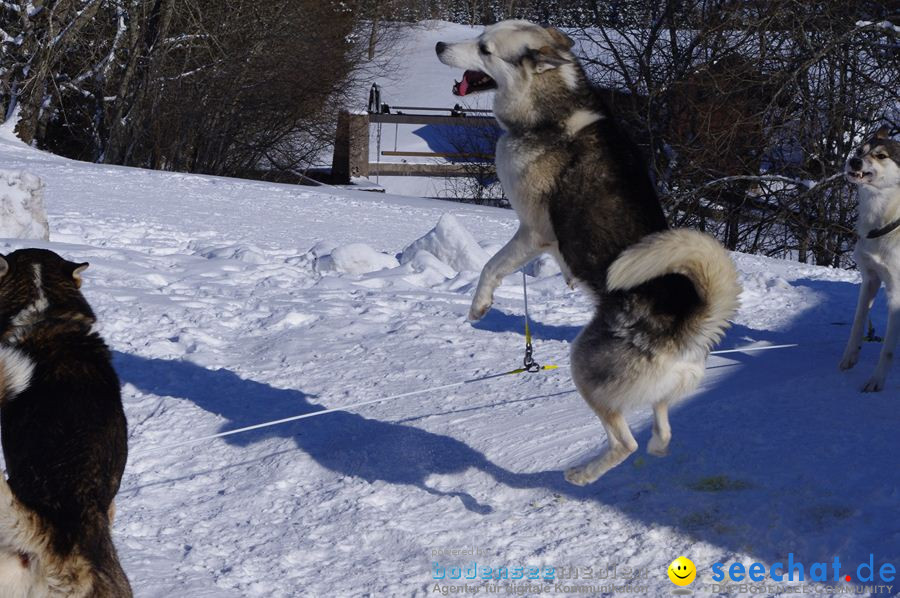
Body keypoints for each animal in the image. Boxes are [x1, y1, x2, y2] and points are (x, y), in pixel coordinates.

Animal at [436, 21, 740, 486]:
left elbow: (491, 267)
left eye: (484, 49)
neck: (551, 108)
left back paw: (582, 474)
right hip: (656, 389)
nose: (439, 45)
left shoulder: (534, 232)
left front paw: (479, 306)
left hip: (583, 366)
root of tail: (683, 326)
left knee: (625, 443)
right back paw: (654, 444)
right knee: (663, 428)